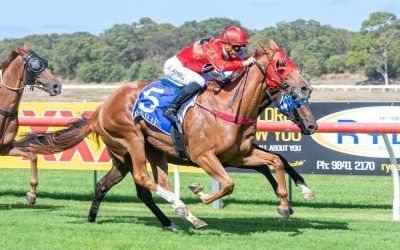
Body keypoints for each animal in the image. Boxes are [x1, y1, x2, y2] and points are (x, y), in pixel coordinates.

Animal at [0, 46, 61, 203]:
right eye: (35, 65)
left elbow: (33, 156)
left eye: (44, 61)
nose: (56, 86)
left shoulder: (5, 147)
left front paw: (32, 194)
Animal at [14, 41, 316, 229]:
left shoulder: (239, 155)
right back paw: (184, 212)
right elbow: (229, 183)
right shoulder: (205, 156)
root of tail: (100, 109)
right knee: (143, 178)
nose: (305, 88)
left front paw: (291, 200)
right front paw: (201, 193)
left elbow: (276, 161)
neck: (229, 107)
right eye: (280, 64)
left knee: (117, 185)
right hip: (132, 140)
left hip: (134, 154)